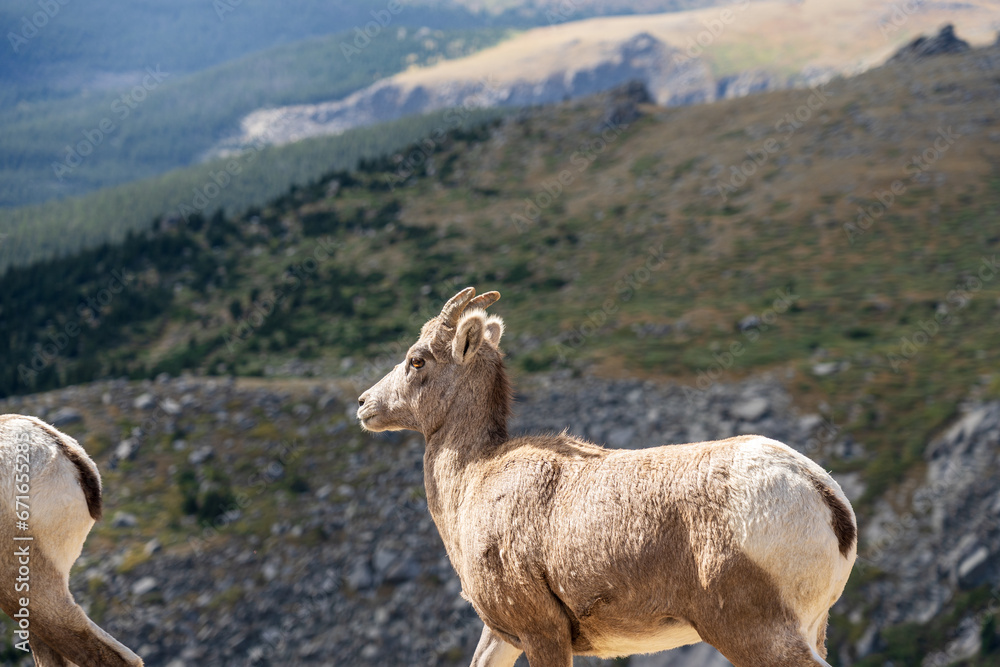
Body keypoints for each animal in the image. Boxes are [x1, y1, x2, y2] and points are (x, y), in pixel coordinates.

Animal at [357, 287, 857, 667]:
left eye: (417, 360)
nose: (364, 405)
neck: (473, 479)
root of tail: (823, 496)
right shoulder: (501, 634)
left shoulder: (541, 633)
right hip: (810, 629)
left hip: (755, 636)